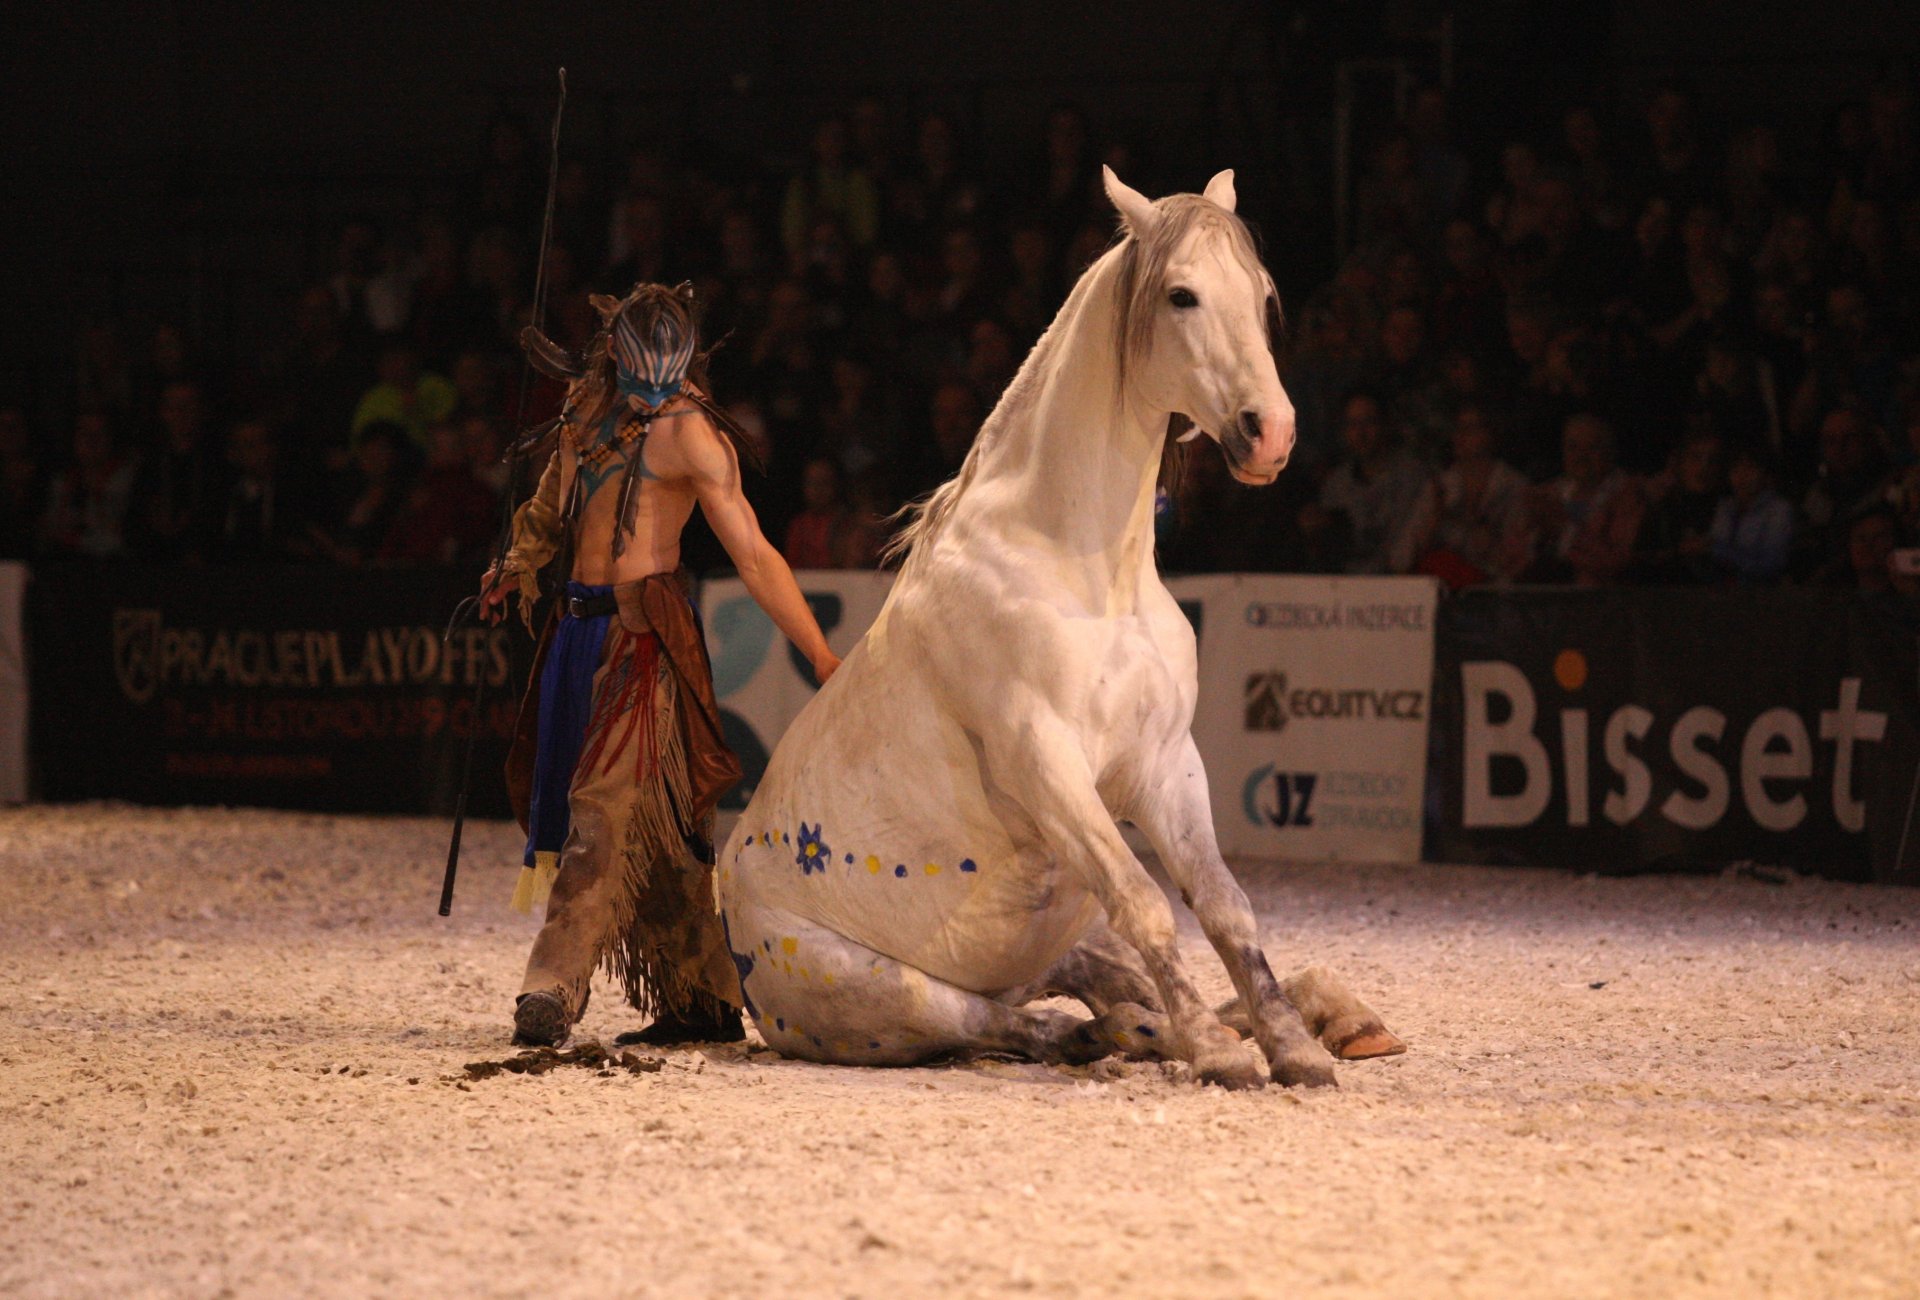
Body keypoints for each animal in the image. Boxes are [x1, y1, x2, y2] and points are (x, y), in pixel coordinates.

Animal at [714, 169, 1405, 1083]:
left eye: (1261, 295)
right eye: (1181, 295)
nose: (1271, 434)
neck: (1085, 572)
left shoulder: (1166, 763)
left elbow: (1225, 907)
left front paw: (1292, 1045)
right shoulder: (1047, 763)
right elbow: (1148, 905)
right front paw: (1216, 1051)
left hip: (1056, 943)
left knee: (1102, 988)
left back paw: (1326, 1019)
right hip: (897, 995)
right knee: (1009, 1021)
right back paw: (1134, 1038)